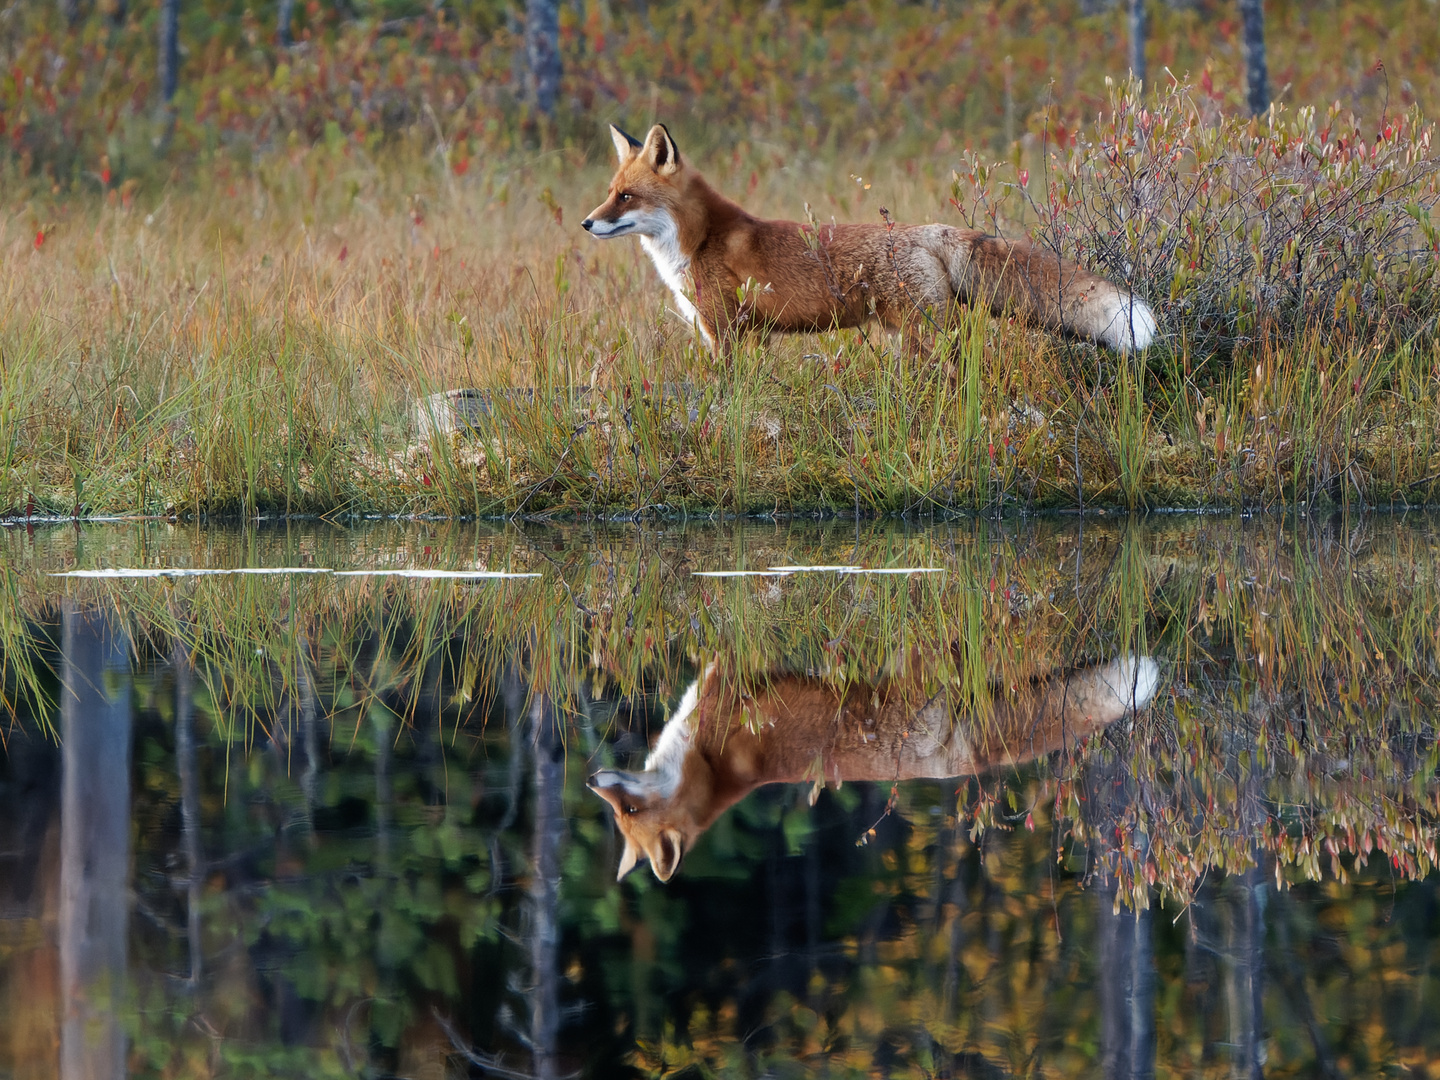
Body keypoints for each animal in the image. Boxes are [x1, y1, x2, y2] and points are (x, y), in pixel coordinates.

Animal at [578, 122, 1152, 360]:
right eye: (609, 193)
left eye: (626, 197)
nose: (586, 223)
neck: (698, 241)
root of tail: (930, 231)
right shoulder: (748, 336)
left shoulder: (728, 333)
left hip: (923, 337)